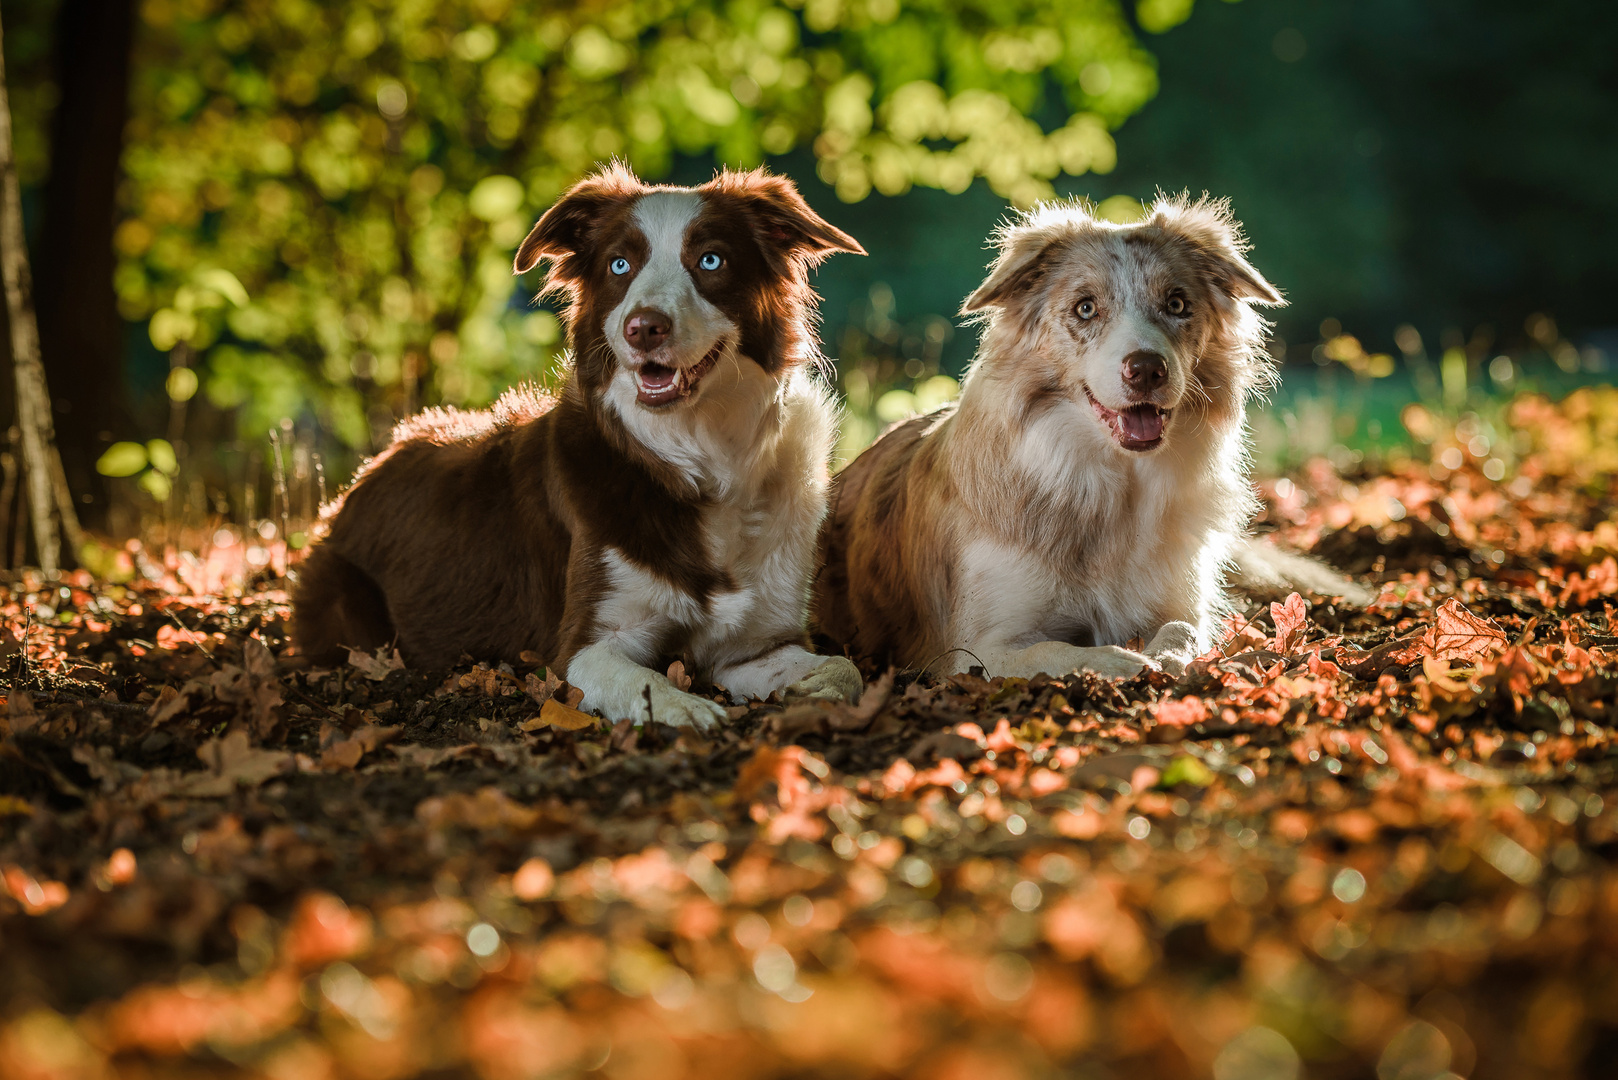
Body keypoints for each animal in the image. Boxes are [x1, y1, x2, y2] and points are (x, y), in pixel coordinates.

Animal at [291, 166, 873, 725]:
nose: (644, 328)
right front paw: (684, 709)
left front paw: (811, 690)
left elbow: (845, 669)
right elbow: (643, 680)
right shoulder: (582, 646)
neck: (703, 456)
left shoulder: (754, 644)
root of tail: (373, 464)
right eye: (619, 266)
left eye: (711, 260)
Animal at [821, 195, 1326, 680]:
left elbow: (1182, 629)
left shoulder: (1180, 601)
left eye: (1177, 304)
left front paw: (1173, 658)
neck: (1114, 489)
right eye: (1085, 307)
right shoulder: (974, 650)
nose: (1147, 369)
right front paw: (1126, 663)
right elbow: (1059, 650)